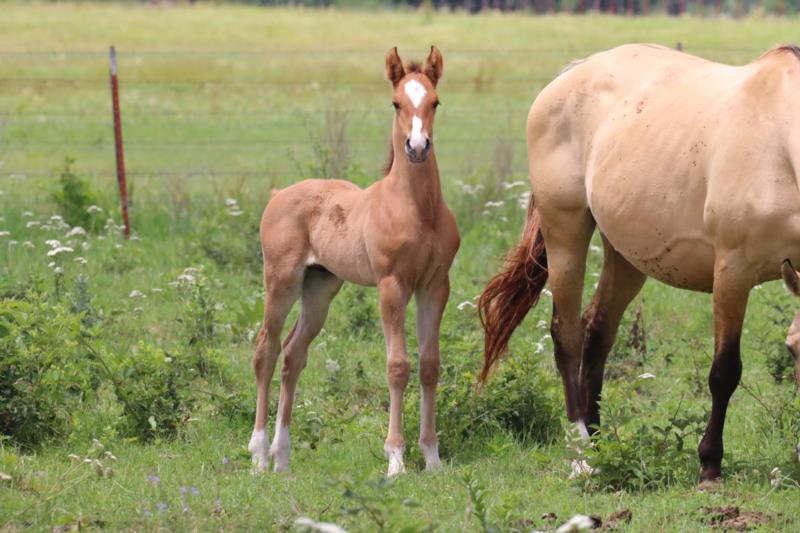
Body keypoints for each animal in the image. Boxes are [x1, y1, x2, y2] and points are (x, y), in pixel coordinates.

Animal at [248, 46, 460, 476]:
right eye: (395, 102)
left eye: (435, 102)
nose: (417, 146)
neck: (419, 209)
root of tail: (278, 195)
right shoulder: (392, 285)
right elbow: (398, 366)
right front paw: (395, 459)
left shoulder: (434, 286)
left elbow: (430, 365)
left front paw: (432, 458)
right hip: (281, 281)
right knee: (266, 349)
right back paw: (258, 455)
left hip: (320, 289)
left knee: (293, 355)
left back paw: (282, 459)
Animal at [478, 43, 800, 484]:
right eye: (792, 351)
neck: (779, 144)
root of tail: (574, 72)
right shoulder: (733, 271)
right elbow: (724, 372)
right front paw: (709, 465)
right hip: (566, 234)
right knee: (567, 336)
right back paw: (581, 451)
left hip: (626, 257)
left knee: (597, 332)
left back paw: (600, 442)